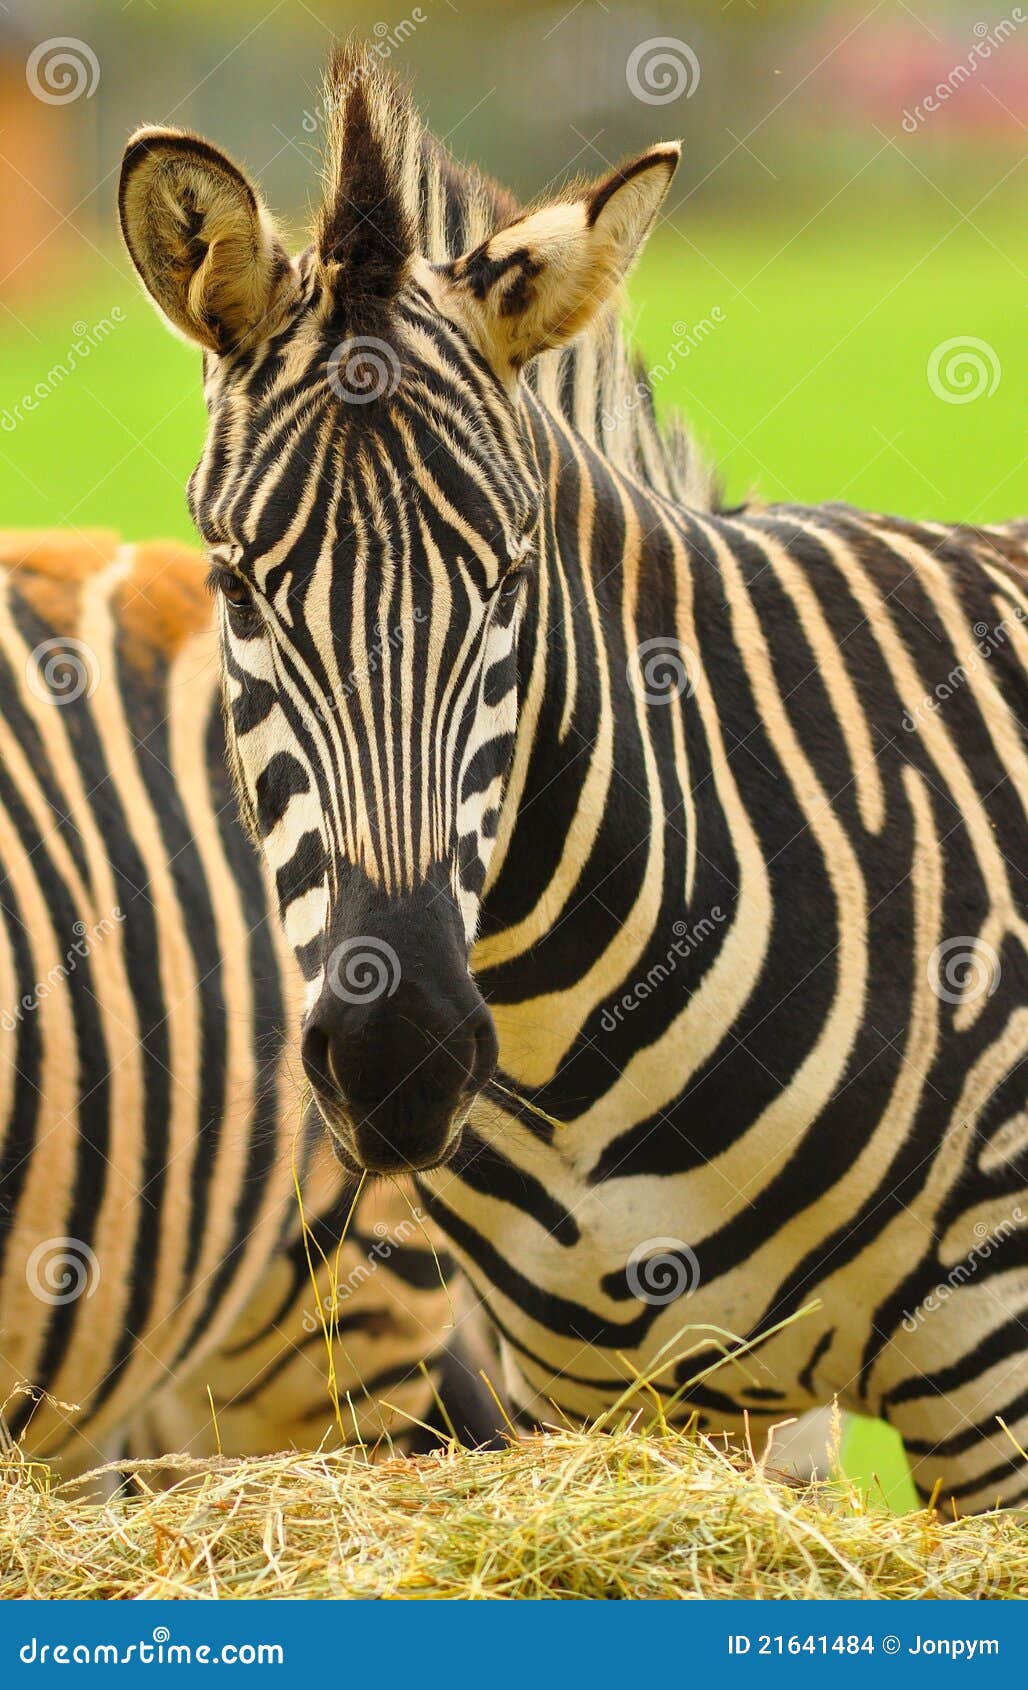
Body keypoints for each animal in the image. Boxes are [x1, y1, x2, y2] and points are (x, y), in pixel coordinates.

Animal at [119, 44, 1028, 1511]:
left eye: (510, 576)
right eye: (237, 585)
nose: (400, 1059)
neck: (577, 1062)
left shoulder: (993, 1372)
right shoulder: (622, 1412)